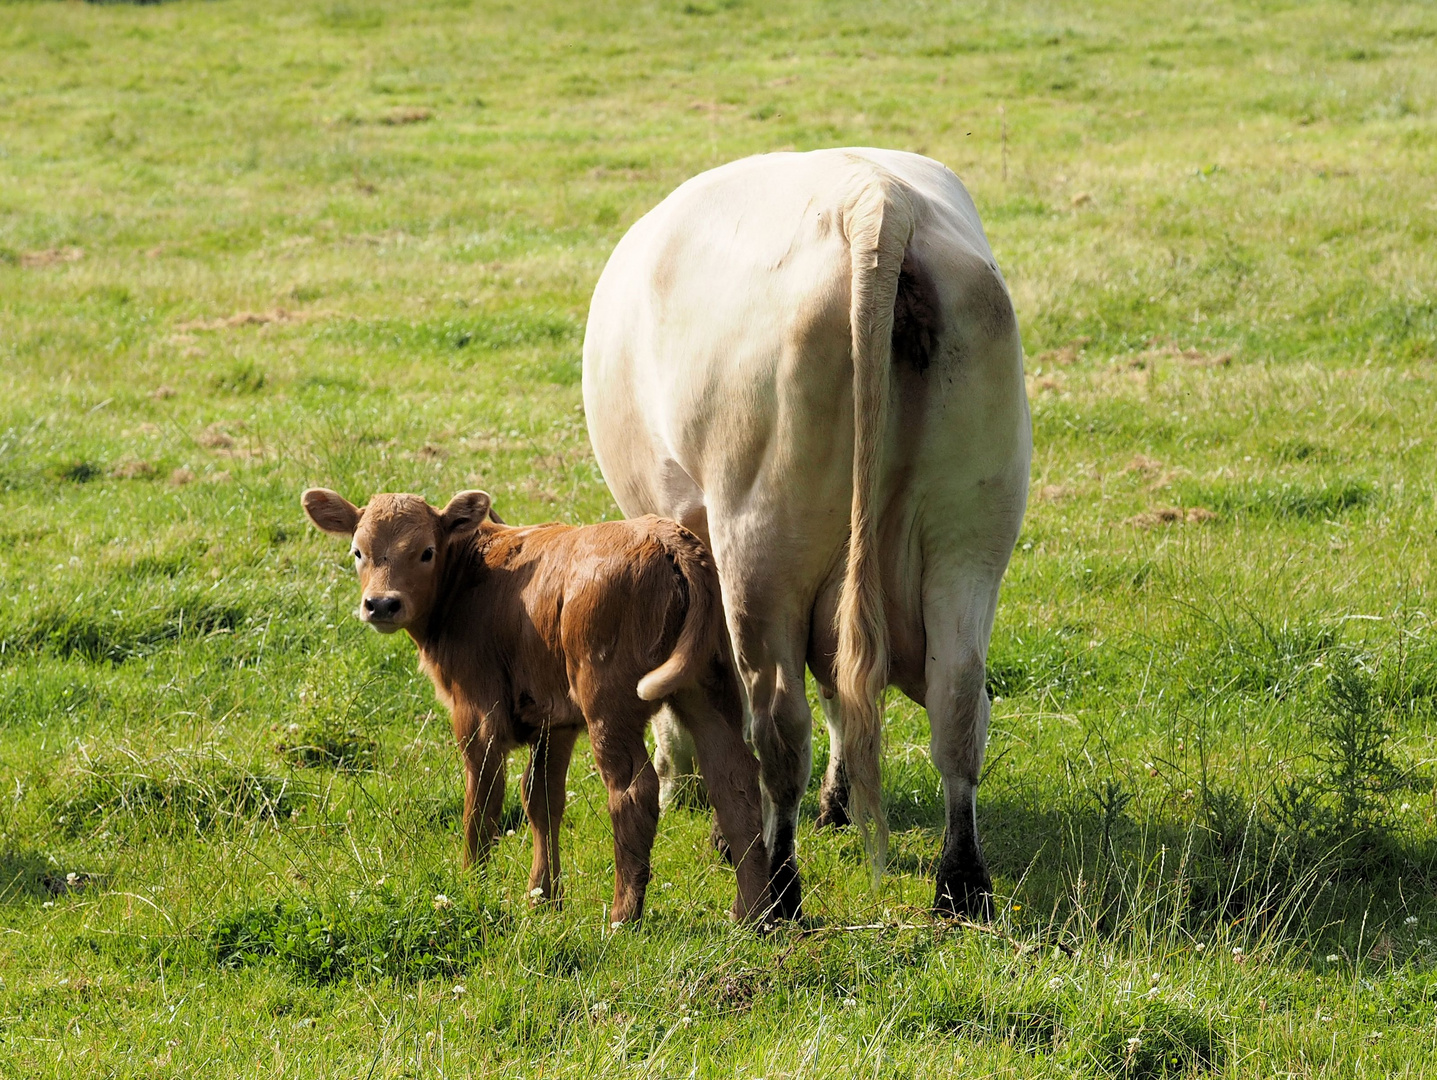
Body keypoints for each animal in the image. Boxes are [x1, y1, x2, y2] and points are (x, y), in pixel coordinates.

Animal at [300, 488, 775, 919]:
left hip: (609, 704)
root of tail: (665, 535)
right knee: (734, 781)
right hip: (709, 688)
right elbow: (542, 799)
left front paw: (472, 885)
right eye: (358, 551)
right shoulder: (555, 721)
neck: (473, 577)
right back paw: (753, 914)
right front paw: (543, 896)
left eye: (426, 552)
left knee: (633, 791)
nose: (381, 604)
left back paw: (624, 915)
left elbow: (483, 802)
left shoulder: (478, 714)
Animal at [577, 145, 1028, 919]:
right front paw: (836, 803)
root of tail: (875, 200)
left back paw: (775, 891)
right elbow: (843, 690)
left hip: (762, 550)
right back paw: (960, 884)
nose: (676, 786)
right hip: (970, 542)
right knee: (957, 705)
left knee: (780, 722)